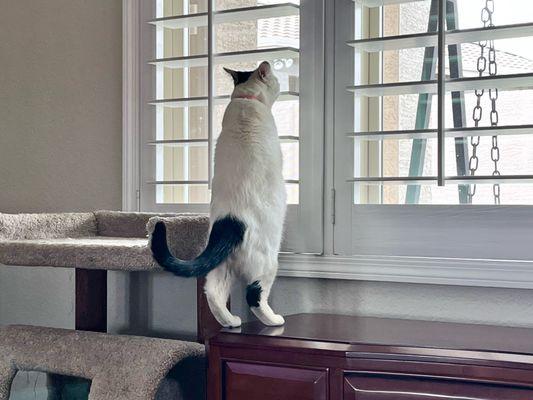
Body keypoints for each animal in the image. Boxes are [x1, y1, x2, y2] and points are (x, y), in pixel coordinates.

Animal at [151, 60, 286, 328]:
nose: (280, 82)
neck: (245, 100)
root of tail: (230, 223)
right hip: (267, 262)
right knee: (254, 294)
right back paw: (273, 320)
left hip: (223, 269)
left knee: (212, 293)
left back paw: (231, 322)